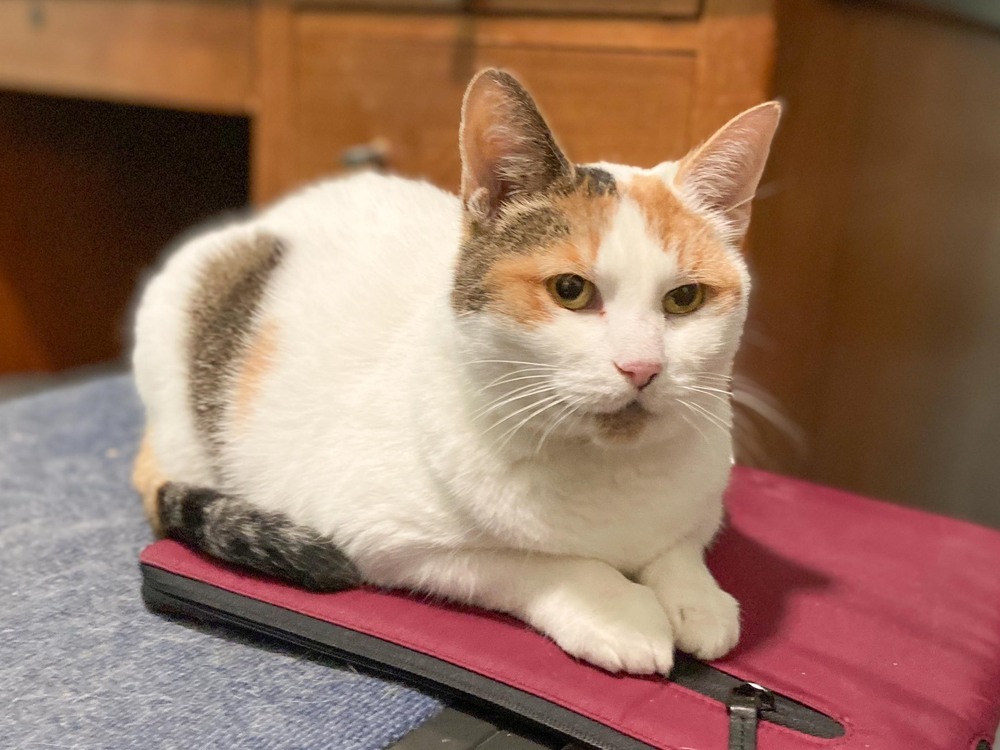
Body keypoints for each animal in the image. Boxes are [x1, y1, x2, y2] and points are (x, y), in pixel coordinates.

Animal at [133, 69, 784, 676]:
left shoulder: (702, 502)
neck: (609, 475)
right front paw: (620, 612)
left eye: (685, 299)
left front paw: (699, 602)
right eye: (570, 290)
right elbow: (536, 563)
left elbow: (681, 545)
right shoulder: (387, 541)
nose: (642, 367)